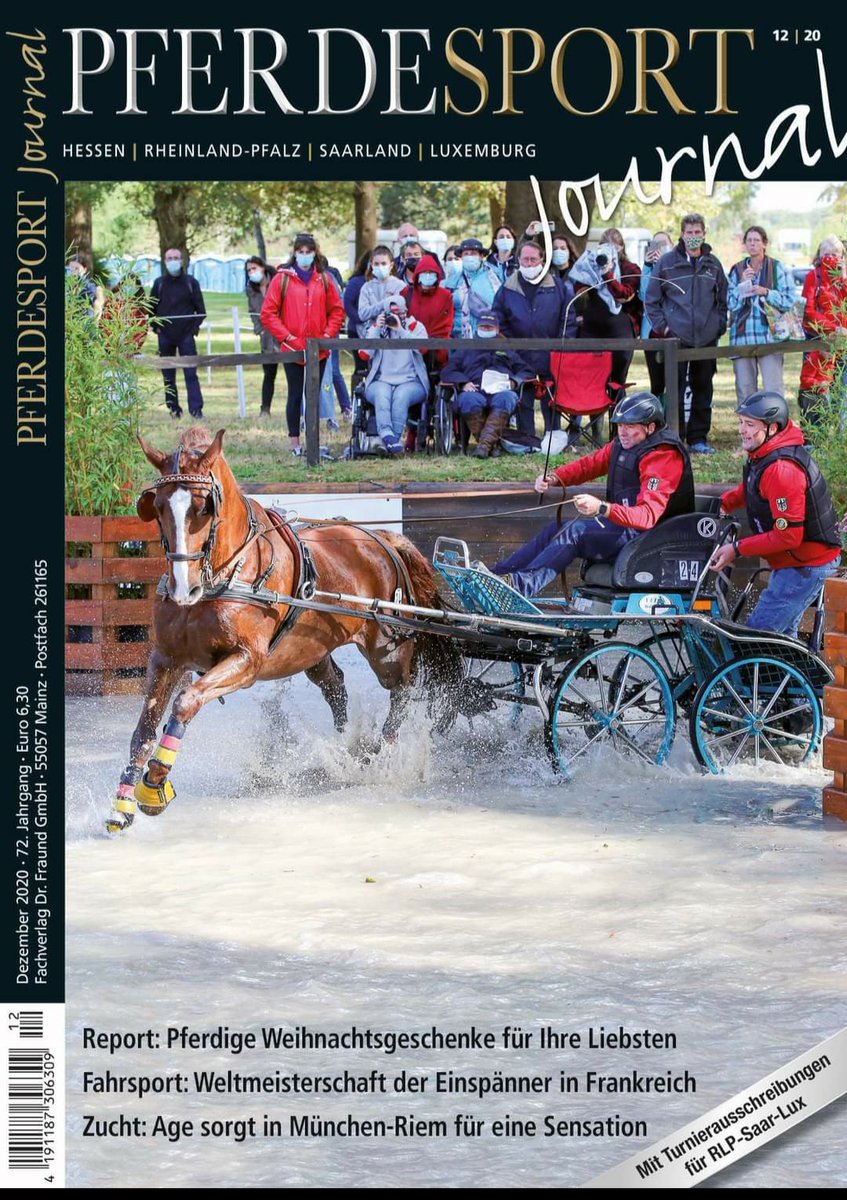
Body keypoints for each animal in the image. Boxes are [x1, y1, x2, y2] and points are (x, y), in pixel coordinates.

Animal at [106, 426, 462, 833]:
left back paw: (380, 755)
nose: (184, 587)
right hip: (312, 651)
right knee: (335, 687)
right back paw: (345, 747)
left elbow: (186, 702)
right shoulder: (166, 658)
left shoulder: (246, 663)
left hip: (386, 648)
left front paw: (154, 784)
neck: (226, 575)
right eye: (159, 507)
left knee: (401, 691)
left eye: (203, 507)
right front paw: (122, 804)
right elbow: (143, 732)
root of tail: (382, 540)